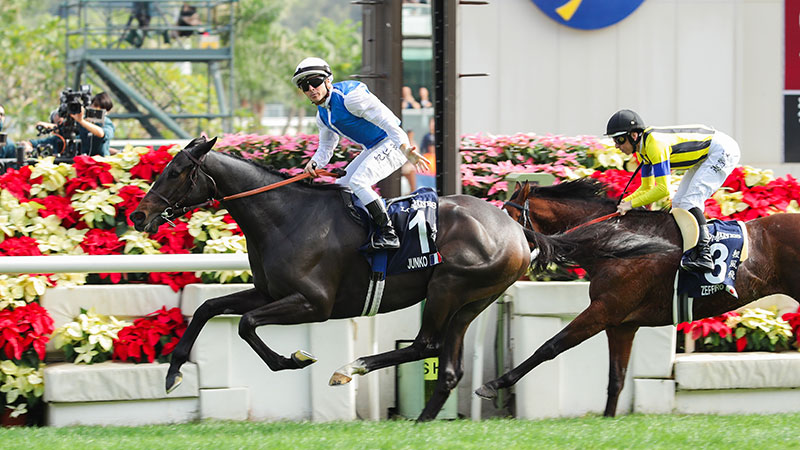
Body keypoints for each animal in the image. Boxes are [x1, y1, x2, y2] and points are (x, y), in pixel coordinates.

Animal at [478, 178, 800, 416]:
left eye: (508, 217)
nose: (498, 250)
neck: (620, 242)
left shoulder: (604, 310)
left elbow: (549, 347)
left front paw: (494, 384)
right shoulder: (622, 324)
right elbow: (616, 378)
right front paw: (607, 420)